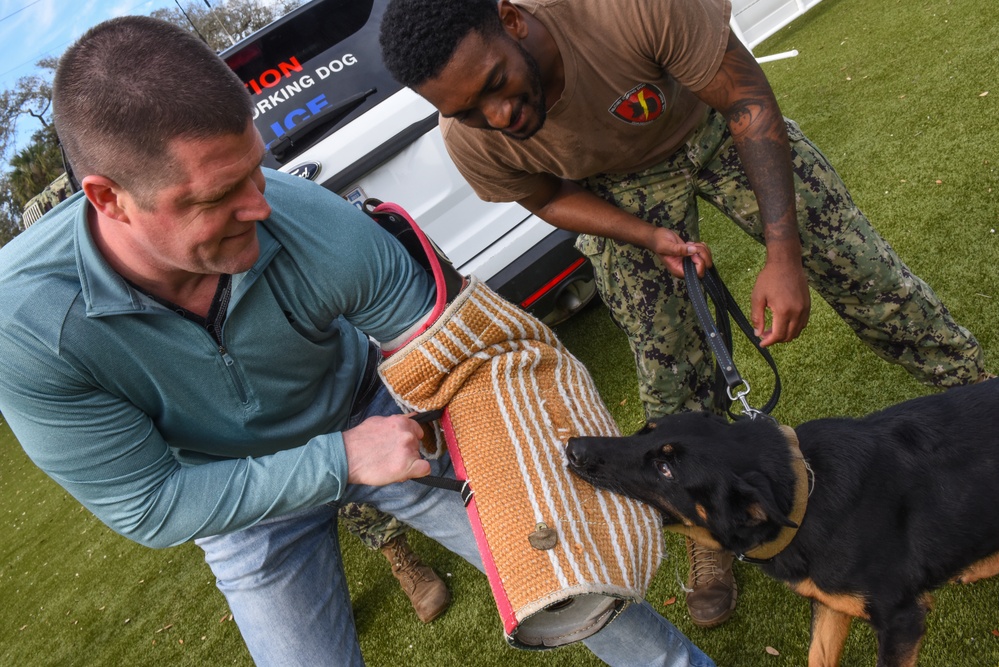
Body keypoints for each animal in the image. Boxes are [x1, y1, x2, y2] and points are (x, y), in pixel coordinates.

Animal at [572, 380, 999, 667]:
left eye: (665, 469)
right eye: (644, 430)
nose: (573, 449)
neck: (805, 495)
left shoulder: (901, 619)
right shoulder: (830, 605)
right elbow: (818, 655)